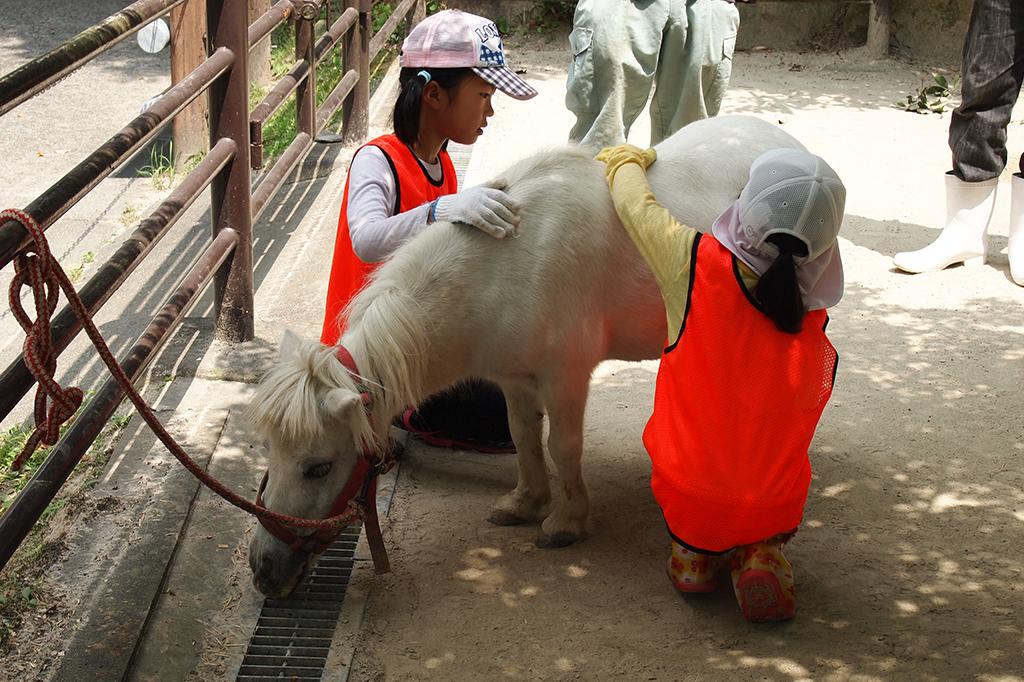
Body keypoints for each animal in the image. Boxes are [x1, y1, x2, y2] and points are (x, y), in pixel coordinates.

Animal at [245, 114, 798, 593]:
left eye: (319, 467)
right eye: (270, 452)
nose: (264, 570)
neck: (503, 266)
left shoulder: (566, 378)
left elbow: (563, 447)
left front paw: (567, 521)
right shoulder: (514, 379)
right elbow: (524, 437)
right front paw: (526, 502)